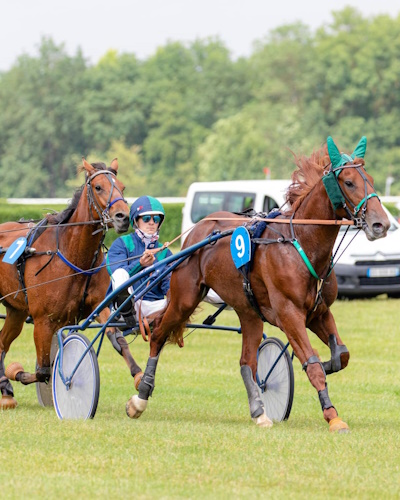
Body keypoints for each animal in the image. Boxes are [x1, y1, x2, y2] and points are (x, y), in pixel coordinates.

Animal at [0, 158, 142, 408]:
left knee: (1, 344)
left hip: (16, 311)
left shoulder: (98, 305)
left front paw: (139, 376)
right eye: (98, 187)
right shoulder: (43, 320)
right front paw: (16, 372)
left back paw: (4, 388)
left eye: (122, 187)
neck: (74, 255)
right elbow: (43, 371)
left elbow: (116, 338)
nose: (122, 217)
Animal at [126, 138, 390, 434]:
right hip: (185, 297)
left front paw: (327, 361)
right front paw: (332, 415)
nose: (381, 224)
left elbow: (341, 355)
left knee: (246, 362)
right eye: (348, 182)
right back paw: (140, 396)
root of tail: (199, 228)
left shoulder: (319, 313)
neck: (301, 243)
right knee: (159, 335)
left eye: (370, 179)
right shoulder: (289, 314)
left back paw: (259, 411)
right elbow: (312, 365)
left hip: (248, 310)